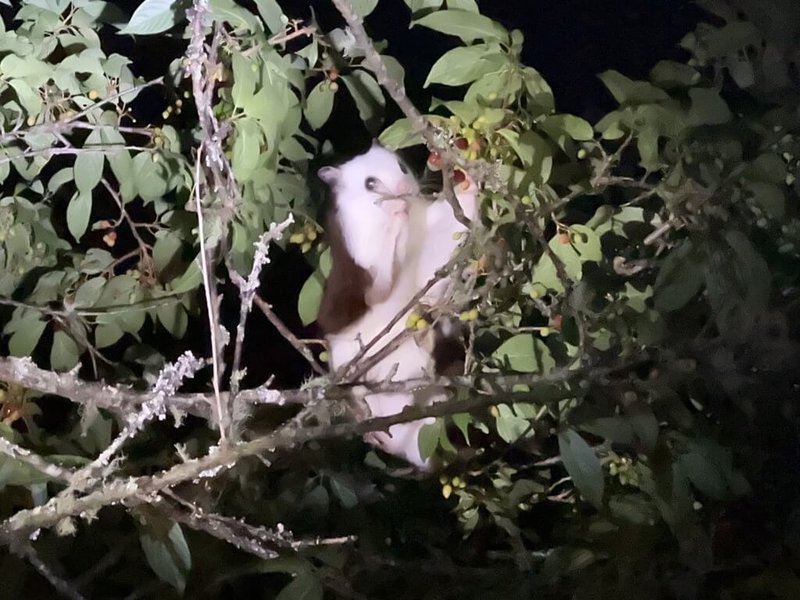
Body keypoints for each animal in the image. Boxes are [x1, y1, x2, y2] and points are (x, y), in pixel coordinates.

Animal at [316, 142, 478, 468]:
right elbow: (376, 288)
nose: (403, 190)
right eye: (370, 183)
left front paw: (467, 180)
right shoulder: (355, 264)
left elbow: (450, 223)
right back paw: (370, 426)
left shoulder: (428, 230)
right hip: (346, 363)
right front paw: (395, 211)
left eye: (402, 167)